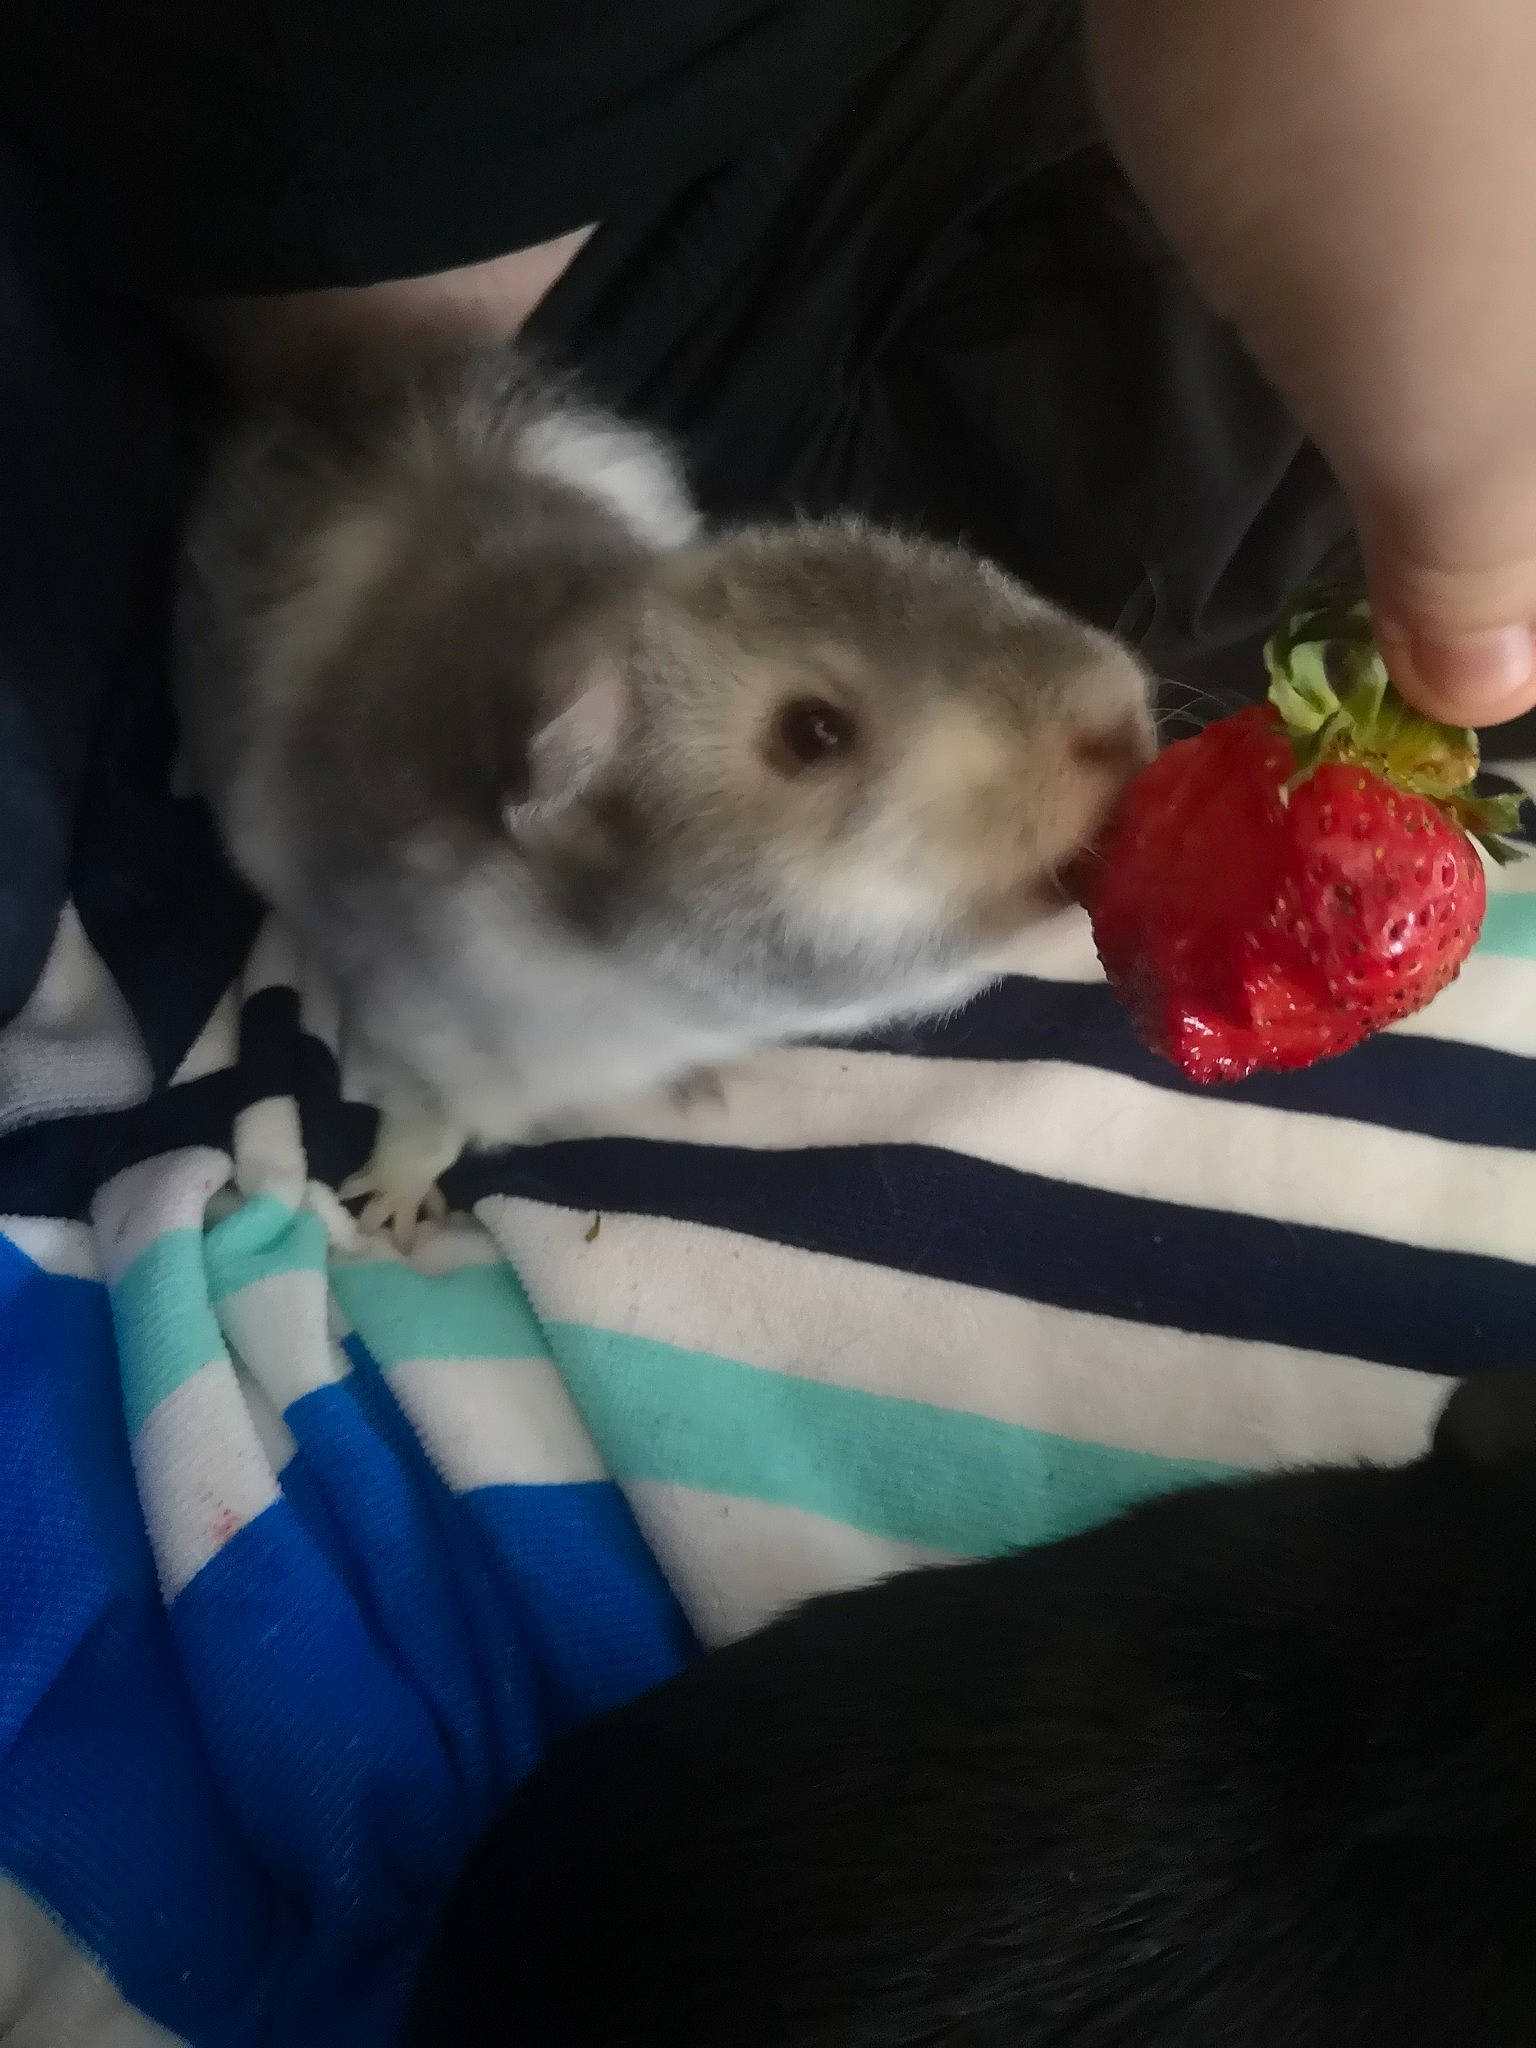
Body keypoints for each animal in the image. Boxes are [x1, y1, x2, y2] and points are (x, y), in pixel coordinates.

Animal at [175, 343, 1154, 1243]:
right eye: (813, 731)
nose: (1122, 717)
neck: (641, 994)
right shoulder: (414, 1038)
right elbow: (425, 1129)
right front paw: (389, 1215)